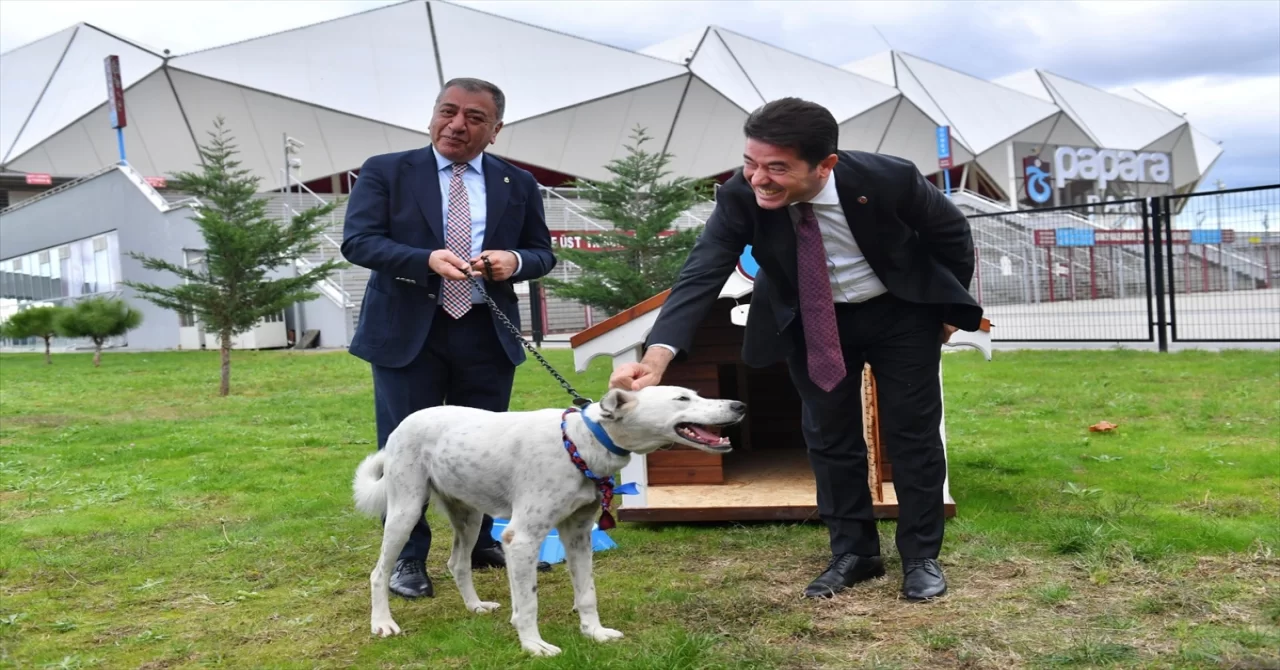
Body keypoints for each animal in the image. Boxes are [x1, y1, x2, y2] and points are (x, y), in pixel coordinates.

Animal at [353, 384, 747, 655]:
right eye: (682, 399)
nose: (740, 405)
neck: (581, 442)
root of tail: (407, 421)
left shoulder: (579, 534)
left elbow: (587, 593)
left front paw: (594, 632)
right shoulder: (522, 539)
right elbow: (528, 603)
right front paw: (533, 646)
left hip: (470, 517)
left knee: (458, 563)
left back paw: (474, 606)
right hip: (405, 512)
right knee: (379, 573)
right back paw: (383, 623)